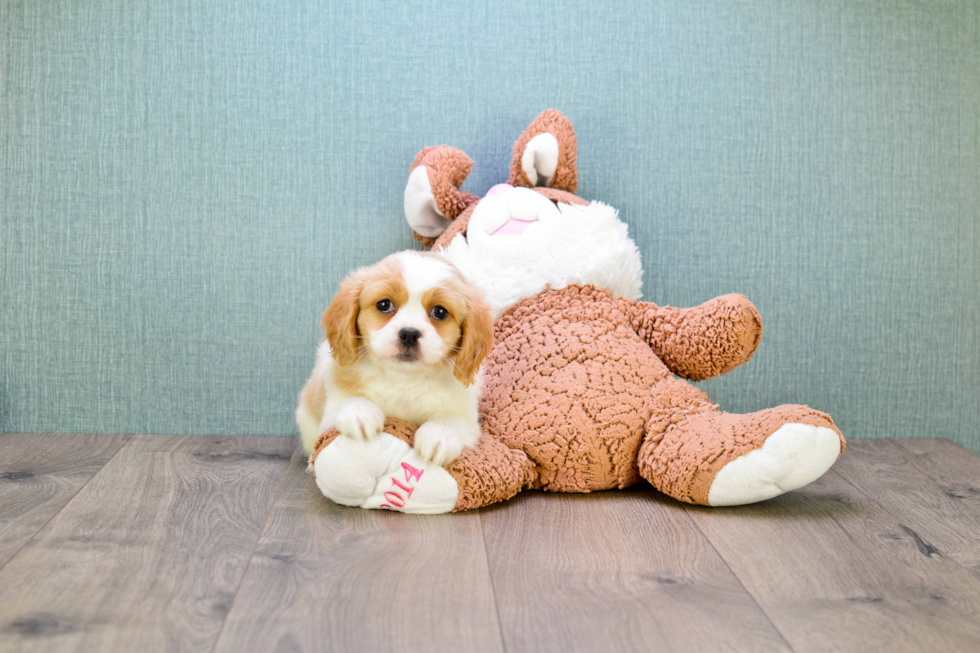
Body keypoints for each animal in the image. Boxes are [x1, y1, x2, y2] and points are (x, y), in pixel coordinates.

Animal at [294, 248, 494, 464]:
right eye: (384, 305)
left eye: (440, 312)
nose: (409, 333)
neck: (404, 378)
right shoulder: (330, 409)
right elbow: (346, 402)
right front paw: (359, 412)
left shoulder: (467, 420)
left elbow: (451, 419)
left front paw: (439, 435)